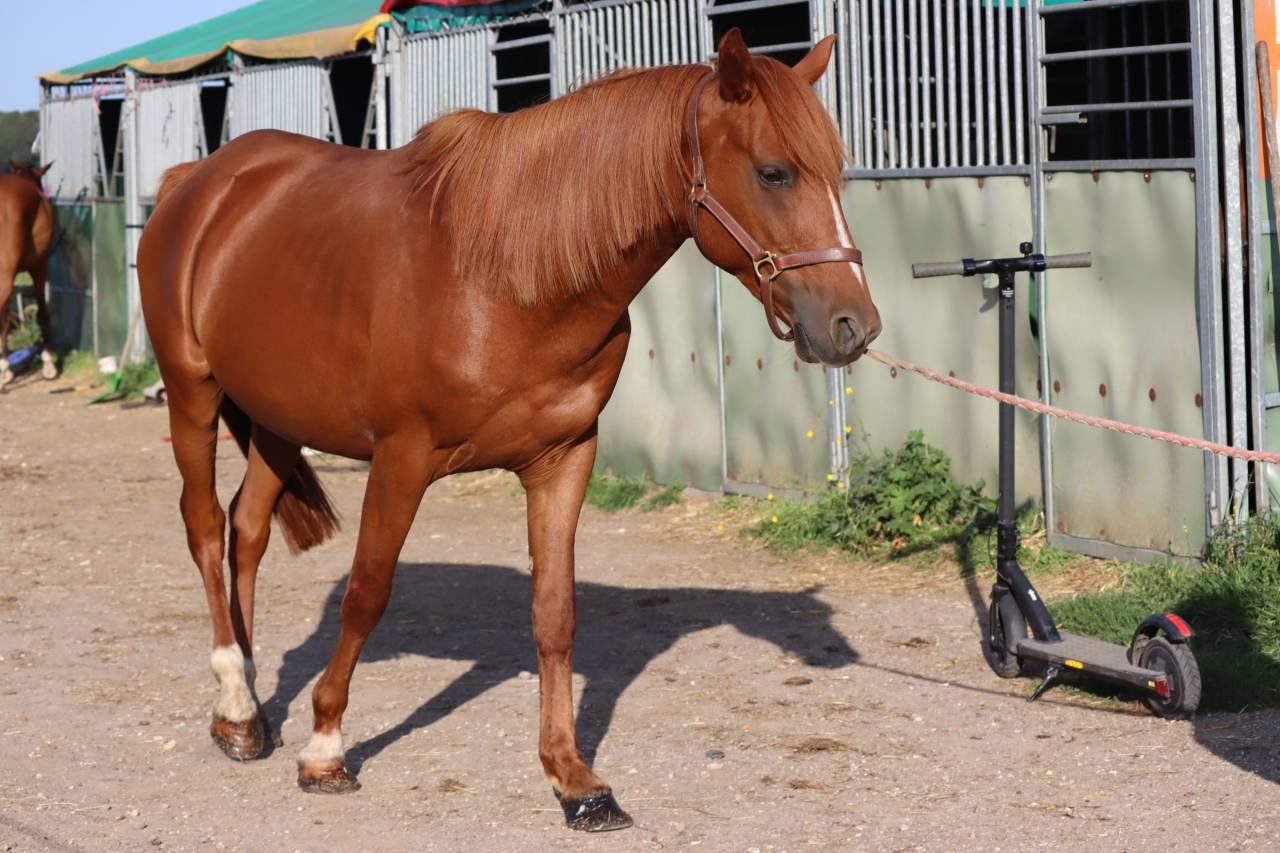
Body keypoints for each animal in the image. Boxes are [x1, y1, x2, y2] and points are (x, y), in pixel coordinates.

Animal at [137, 27, 880, 832]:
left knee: (246, 532)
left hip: (277, 417)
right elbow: (368, 590)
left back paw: (241, 710)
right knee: (205, 526)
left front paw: (574, 779)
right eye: (774, 172)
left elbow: (555, 613)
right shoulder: (401, 457)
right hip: (193, 394)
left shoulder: (564, 459)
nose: (855, 326)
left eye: (836, 173)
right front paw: (326, 747)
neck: (505, 279)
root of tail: (197, 182)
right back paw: (239, 701)